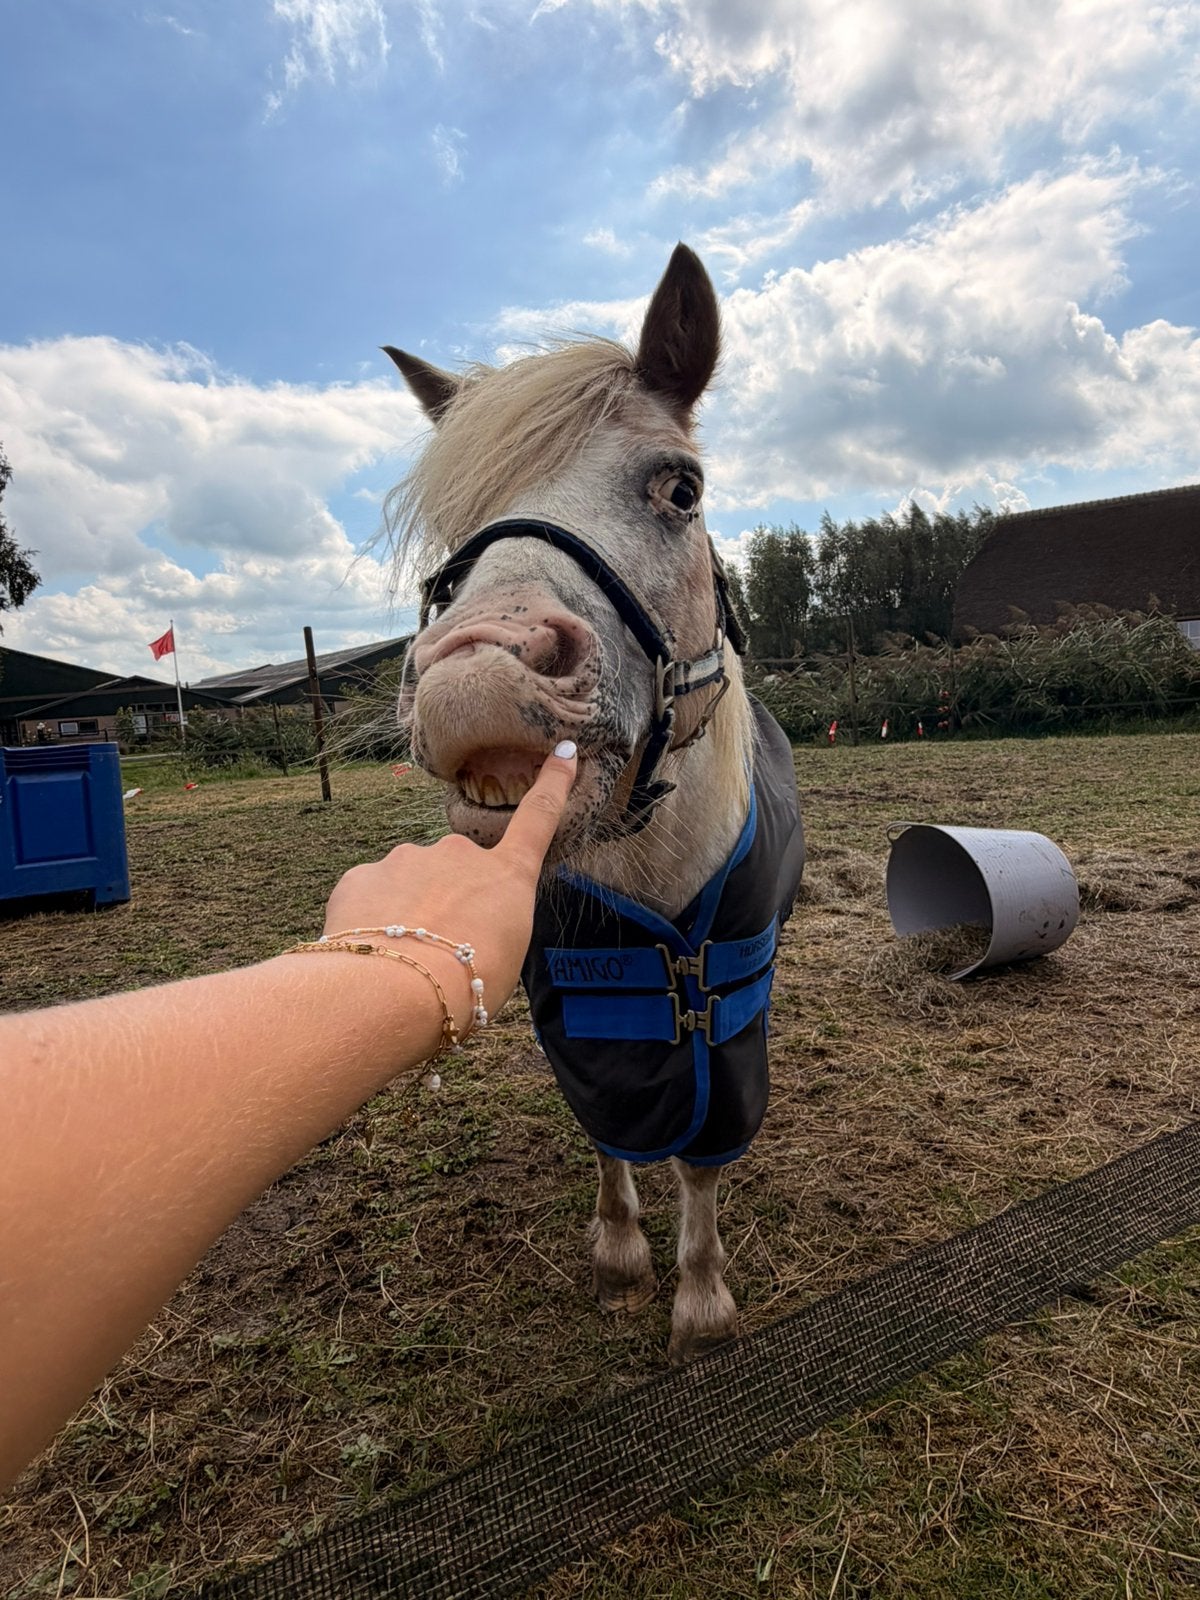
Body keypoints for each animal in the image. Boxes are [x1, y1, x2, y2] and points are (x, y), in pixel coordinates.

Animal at [384, 244, 804, 1364]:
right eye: (457, 531)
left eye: (681, 486)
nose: (476, 681)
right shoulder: (574, 1006)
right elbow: (607, 1129)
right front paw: (620, 1257)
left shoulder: (724, 1010)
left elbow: (700, 1157)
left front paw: (701, 1302)